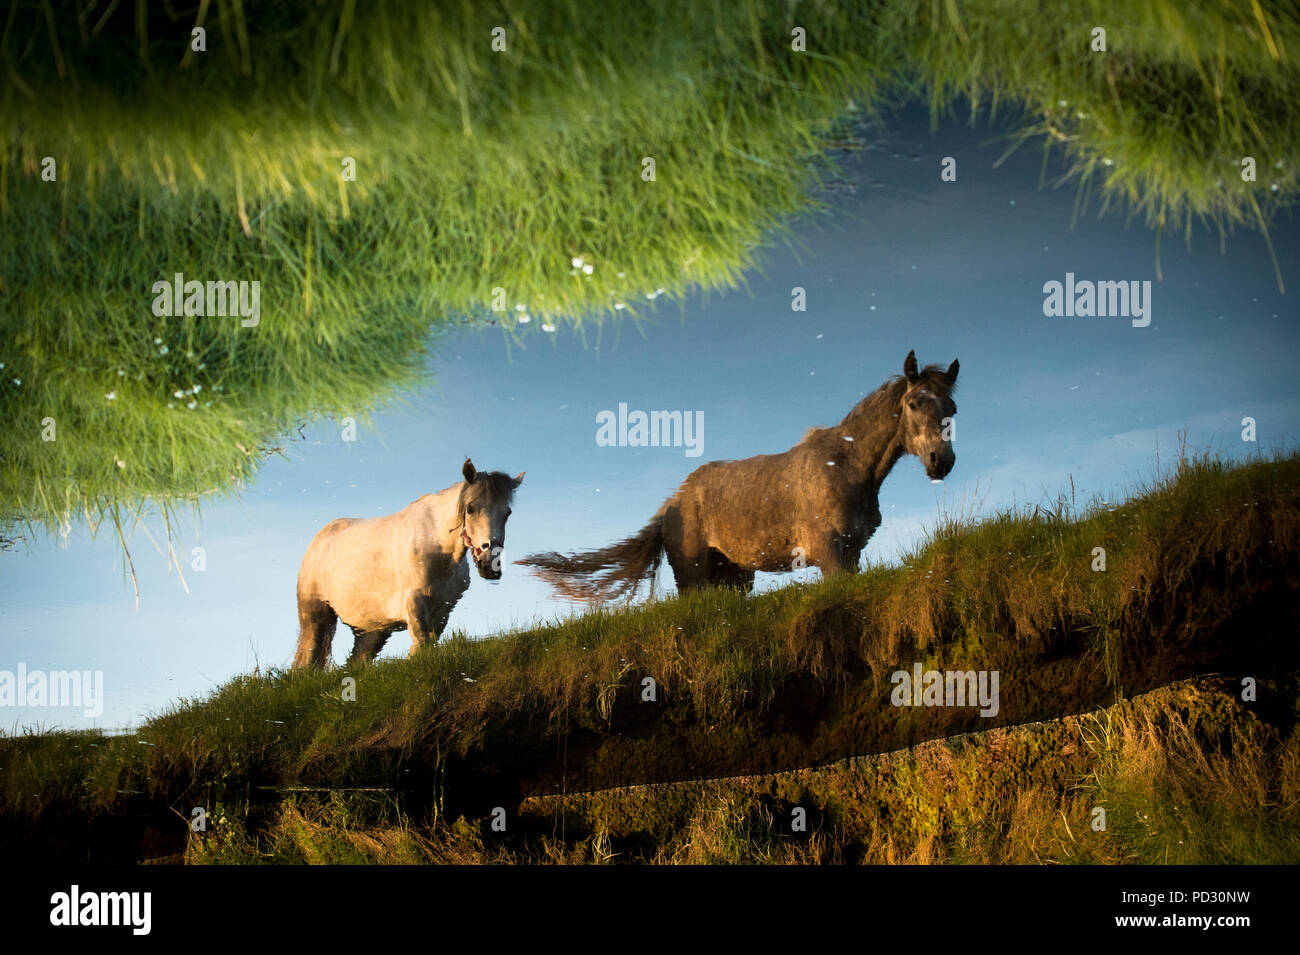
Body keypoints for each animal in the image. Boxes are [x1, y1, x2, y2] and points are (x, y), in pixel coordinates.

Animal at [291, 459, 522, 670]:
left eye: (507, 513)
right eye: (471, 509)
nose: (490, 564)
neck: (436, 547)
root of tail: (320, 538)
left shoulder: (442, 612)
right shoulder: (415, 604)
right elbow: (421, 646)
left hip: (371, 631)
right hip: (316, 617)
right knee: (305, 663)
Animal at [517, 350, 956, 605]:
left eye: (951, 407)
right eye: (914, 404)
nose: (941, 460)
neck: (847, 466)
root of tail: (672, 503)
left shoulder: (853, 553)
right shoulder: (829, 554)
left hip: (734, 576)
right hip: (694, 576)